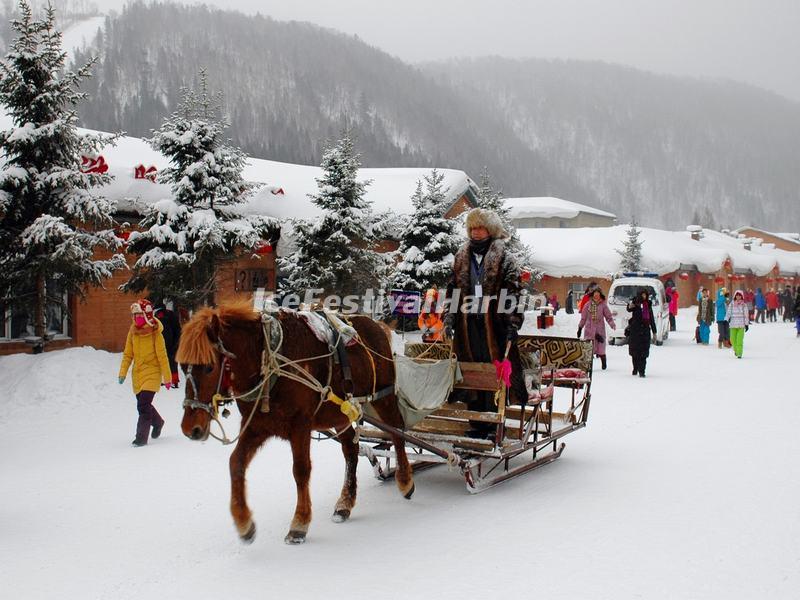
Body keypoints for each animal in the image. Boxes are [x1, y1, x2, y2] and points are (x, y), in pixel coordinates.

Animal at [175, 304, 412, 544]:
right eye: (182, 366)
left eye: (209, 368)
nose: (190, 428)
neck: (268, 360)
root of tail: (376, 324)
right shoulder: (257, 426)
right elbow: (236, 463)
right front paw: (244, 522)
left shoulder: (300, 425)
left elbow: (301, 470)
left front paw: (300, 522)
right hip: (338, 413)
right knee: (351, 449)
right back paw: (345, 503)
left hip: (383, 396)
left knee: (397, 432)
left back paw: (405, 480)